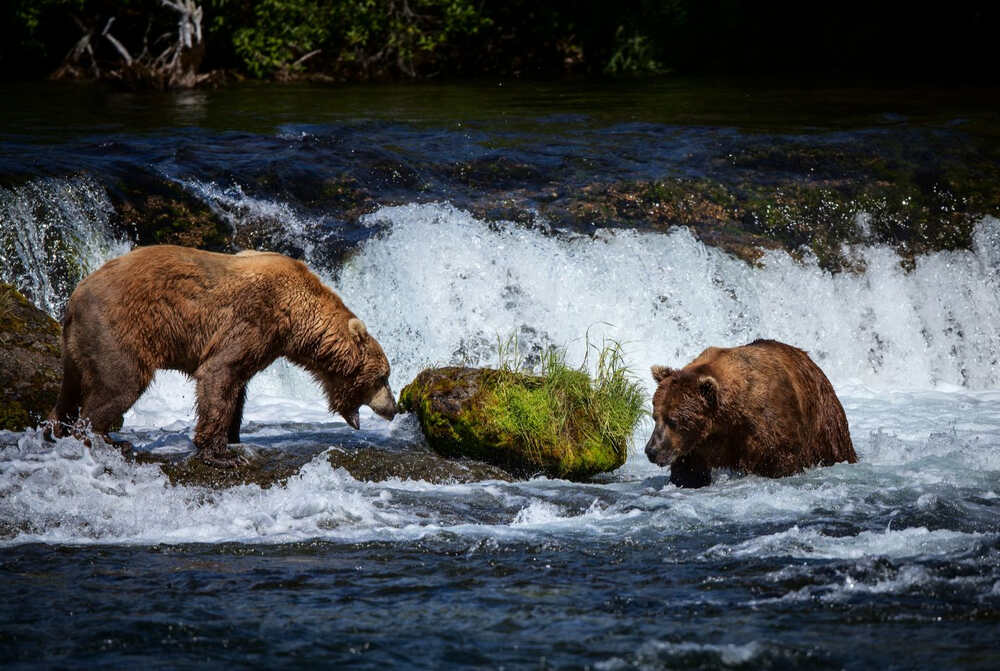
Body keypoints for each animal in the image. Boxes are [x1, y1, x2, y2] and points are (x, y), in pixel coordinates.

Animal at [47, 245, 397, 467]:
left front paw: (234, 436)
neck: (296, 319)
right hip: (119, 329)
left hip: (77, 347)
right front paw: (221, 453)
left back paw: (57, 429)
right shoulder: (253, 319)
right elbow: (219, 375)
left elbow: (237, 384)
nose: (393, 408)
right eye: (384, 376)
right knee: (120, 384)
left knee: (69, 390)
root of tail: (75, 296)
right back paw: (105, 439)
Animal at [644, 339, 856, 488]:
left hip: (825, 422)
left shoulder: (768, 428)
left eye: (673, 420)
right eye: (655, 417)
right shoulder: (697, 444)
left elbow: (780, 463)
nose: (651, 451)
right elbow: (688, 471)